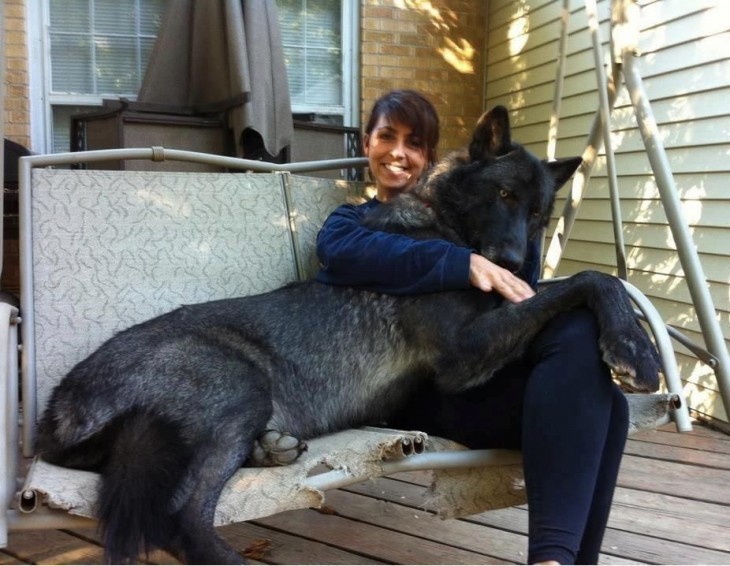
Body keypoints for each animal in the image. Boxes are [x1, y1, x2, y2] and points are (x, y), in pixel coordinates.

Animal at [35, 105, 660, 564]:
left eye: (538, 214)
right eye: (504, 195)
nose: (510, 264)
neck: (442, 225)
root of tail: (58, 409)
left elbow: (579, 284)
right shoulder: (465, 353)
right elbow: (591, 278)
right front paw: (636, 348)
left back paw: (271, 448)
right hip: (239, 390)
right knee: (180, 519)